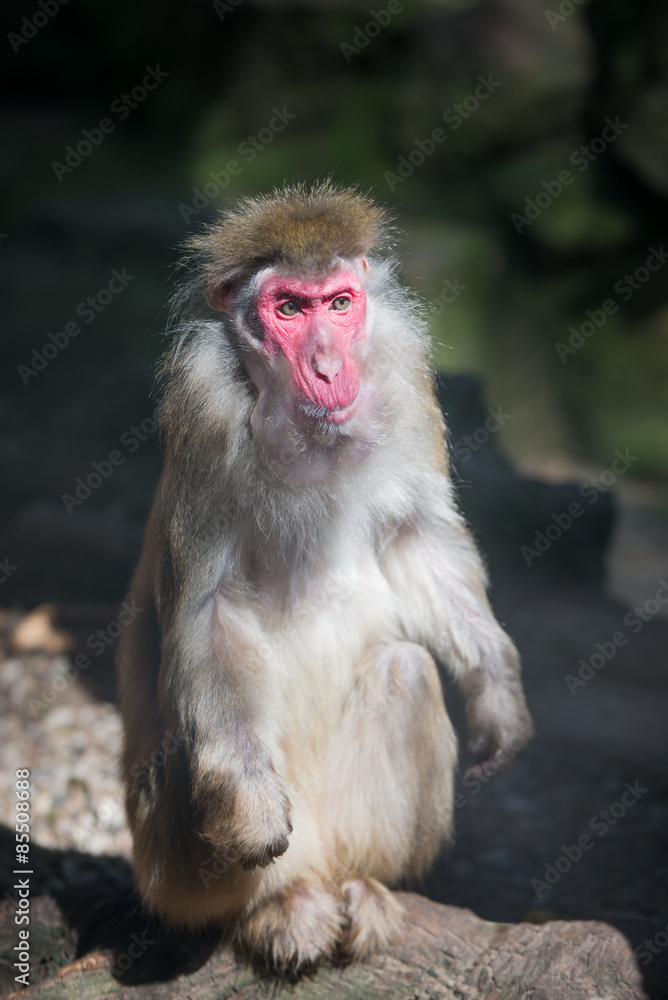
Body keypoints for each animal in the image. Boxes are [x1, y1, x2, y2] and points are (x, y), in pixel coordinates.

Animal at [117, 181, 533, 971]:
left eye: (339, 304)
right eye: (288, 309)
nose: (330, 368)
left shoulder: (401, 371)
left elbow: (418, 539)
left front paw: (497, 690)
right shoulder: (204, 410)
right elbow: (209, 611)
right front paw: (253, 815)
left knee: (405, 670)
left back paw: (361, 887)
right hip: (173, 863)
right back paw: (281, 906)